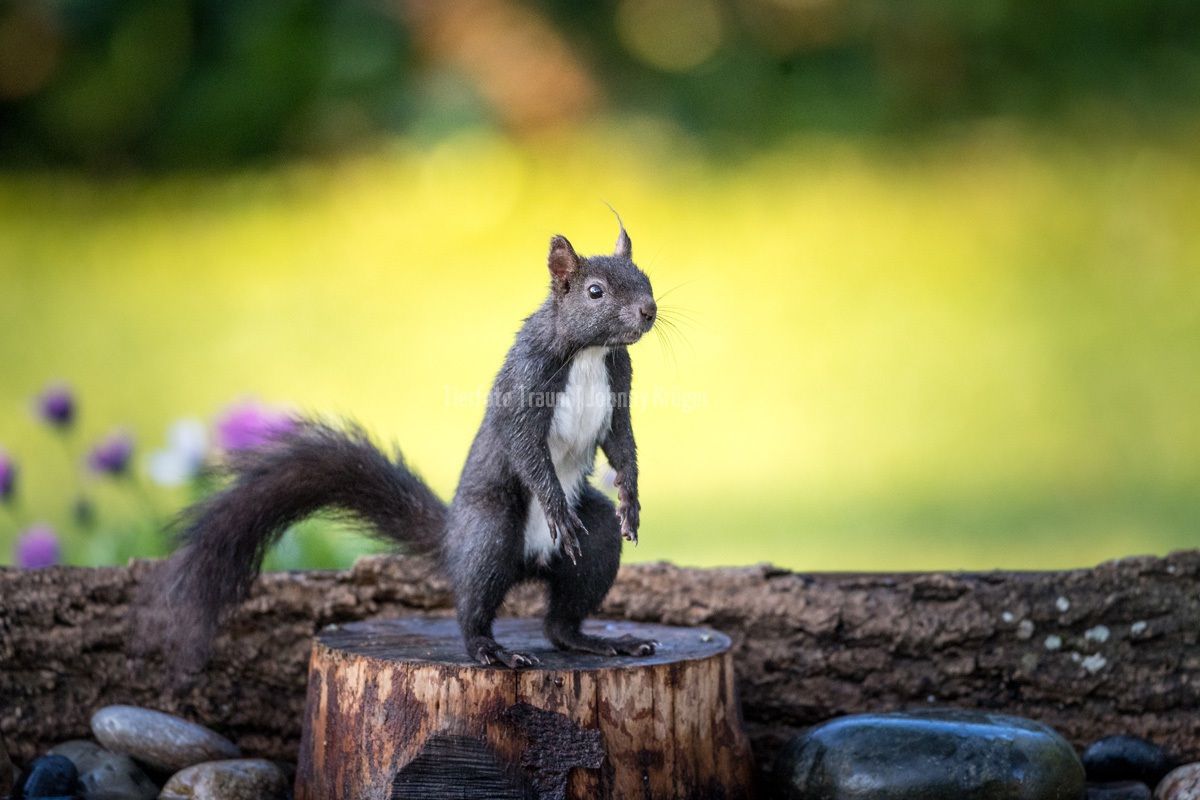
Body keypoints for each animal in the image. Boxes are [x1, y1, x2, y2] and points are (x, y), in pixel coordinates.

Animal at [156, 219, 659, 669]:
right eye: (595, 292)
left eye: (646, 279)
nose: (649, 310)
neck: (589, 352)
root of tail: (454, 538)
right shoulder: (526, 383)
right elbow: (525, 447)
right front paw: (556, 505)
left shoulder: (619, 389)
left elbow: (623, 444)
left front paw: (631, 499)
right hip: (490, 531)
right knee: (474, 605)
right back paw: (492, 650)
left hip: (596, 541)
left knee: (562, 619)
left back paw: (600, 641)